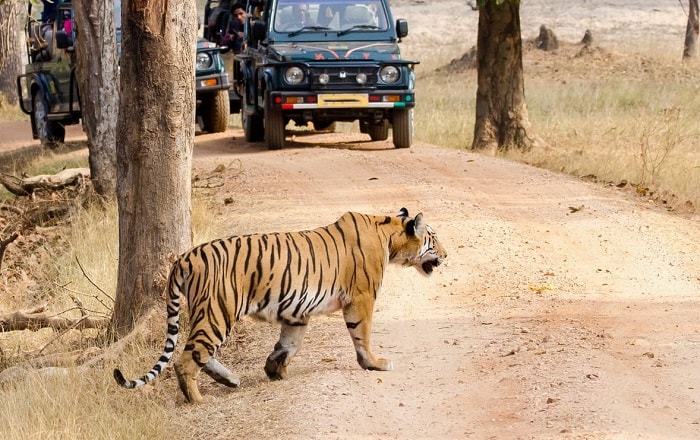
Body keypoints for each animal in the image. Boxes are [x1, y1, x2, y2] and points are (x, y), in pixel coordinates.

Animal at [113, 208, 446, 404]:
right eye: (433, 238)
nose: (446, 254)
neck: (388, 234)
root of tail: (184, 257)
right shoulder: (361, 298)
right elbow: (361, 336)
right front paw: (375, 363)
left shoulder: (297, 312)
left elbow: (288, 344)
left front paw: (275, 369)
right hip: (217, 312)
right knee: (187, 358)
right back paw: (198, 399)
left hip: (211, 314)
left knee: (197, 353)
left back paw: (230, 379)